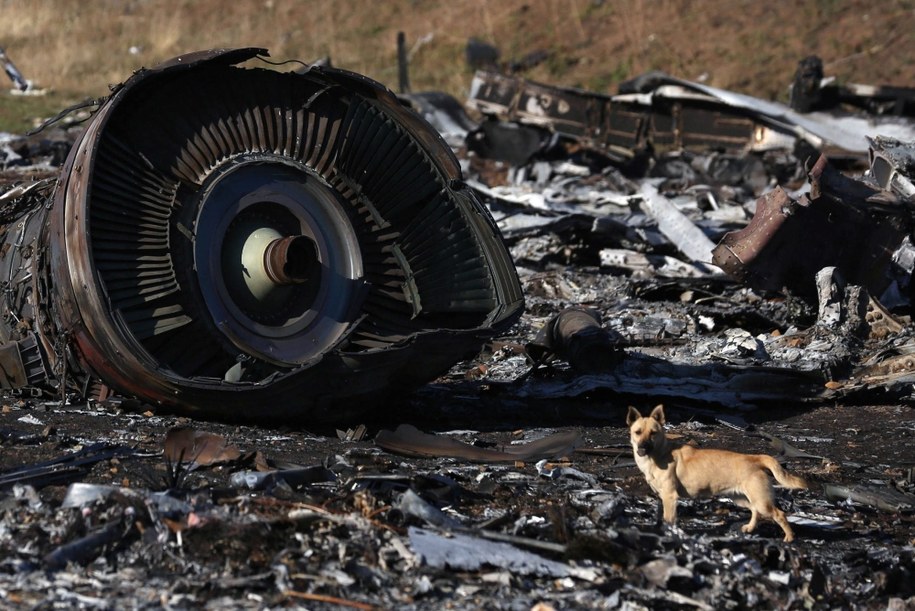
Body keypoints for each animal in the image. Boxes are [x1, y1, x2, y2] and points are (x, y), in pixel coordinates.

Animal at [628, 406, 804, 540]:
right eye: (637, 432)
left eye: (653, 433)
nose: (642, 448)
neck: (660, 454)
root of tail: (754, 458)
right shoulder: (663, 497)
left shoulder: (670, 497)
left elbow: (669, 520)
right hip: (740, 498)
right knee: (755, 511)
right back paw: (749, 528)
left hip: (762, 501)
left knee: (779, 514)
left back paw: (789, 537)